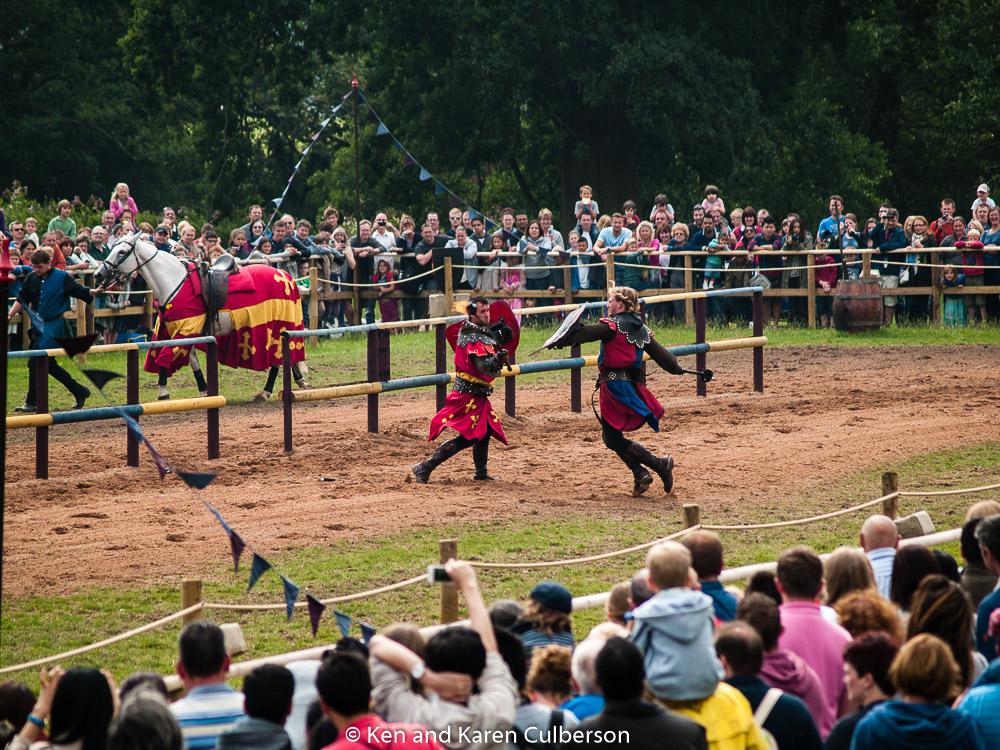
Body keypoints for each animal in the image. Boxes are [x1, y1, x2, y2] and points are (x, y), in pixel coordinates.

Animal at [94, 233, 309, 402]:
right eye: (113, 248)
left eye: (122, 252)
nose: (98, 274)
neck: (175, 283)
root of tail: (283, 275)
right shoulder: (175, 331)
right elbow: (187, 360)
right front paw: (201, 391)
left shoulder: (187, 329)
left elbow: (166, 357)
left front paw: (165, 392)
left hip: (276, 328)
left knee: (278, 360)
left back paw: (265, 392)